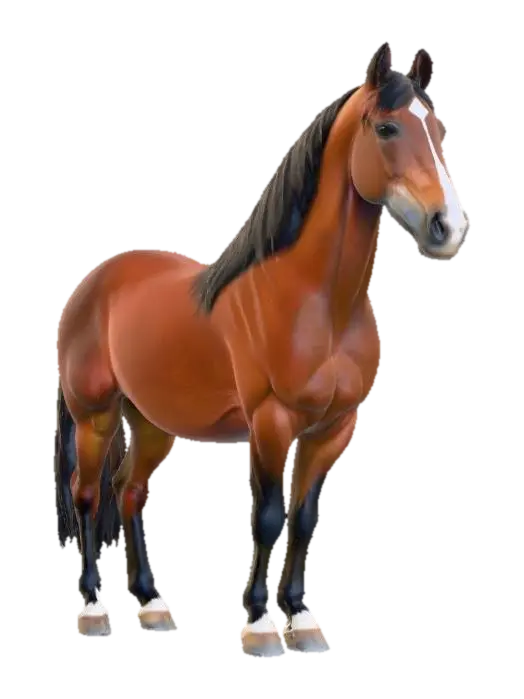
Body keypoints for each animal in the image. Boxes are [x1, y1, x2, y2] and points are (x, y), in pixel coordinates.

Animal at [55, 41, 467, 653]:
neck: (316, 300)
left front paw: (303, 616)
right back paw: (93, 606)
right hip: (94, 417)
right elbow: (269, 518)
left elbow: (304, 520)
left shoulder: (335, 427)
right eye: (387, 128)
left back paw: (152, 602)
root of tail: (90, 286)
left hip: (152, 422)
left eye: (436, 127)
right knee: (87, 495)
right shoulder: (271, 421)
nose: (449, 226)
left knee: (132, 492)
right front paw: (263, 622)